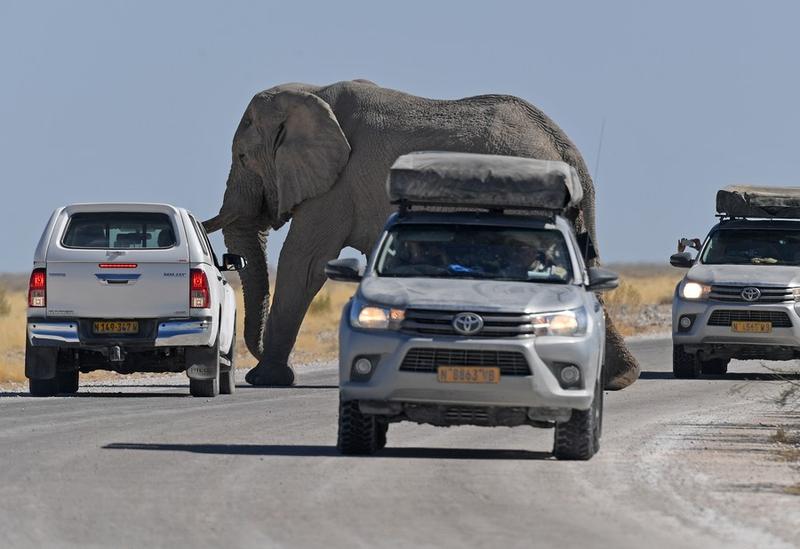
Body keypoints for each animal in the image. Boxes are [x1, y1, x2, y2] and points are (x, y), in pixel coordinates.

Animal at [203, 80, 640, 390]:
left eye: (242, 157)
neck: (312, 92)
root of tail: (564, 148)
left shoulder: (337, 187)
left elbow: (303, 263)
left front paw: (265, 379)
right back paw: (619, 379)